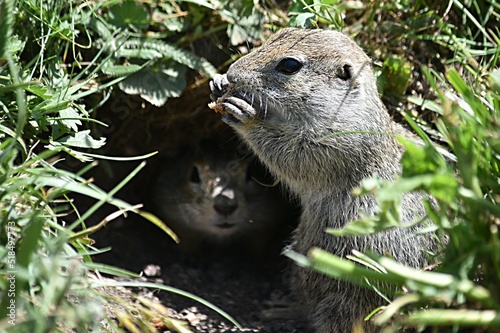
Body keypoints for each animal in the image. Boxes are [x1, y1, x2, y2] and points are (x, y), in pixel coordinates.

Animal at [207, 28, 438, 332]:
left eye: (290, 65)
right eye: (279, 33)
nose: (233, 73)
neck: (349, 110)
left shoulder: (335, 146)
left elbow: (292, 155)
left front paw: (246, 117)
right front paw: (217, 82)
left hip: (346, 291)